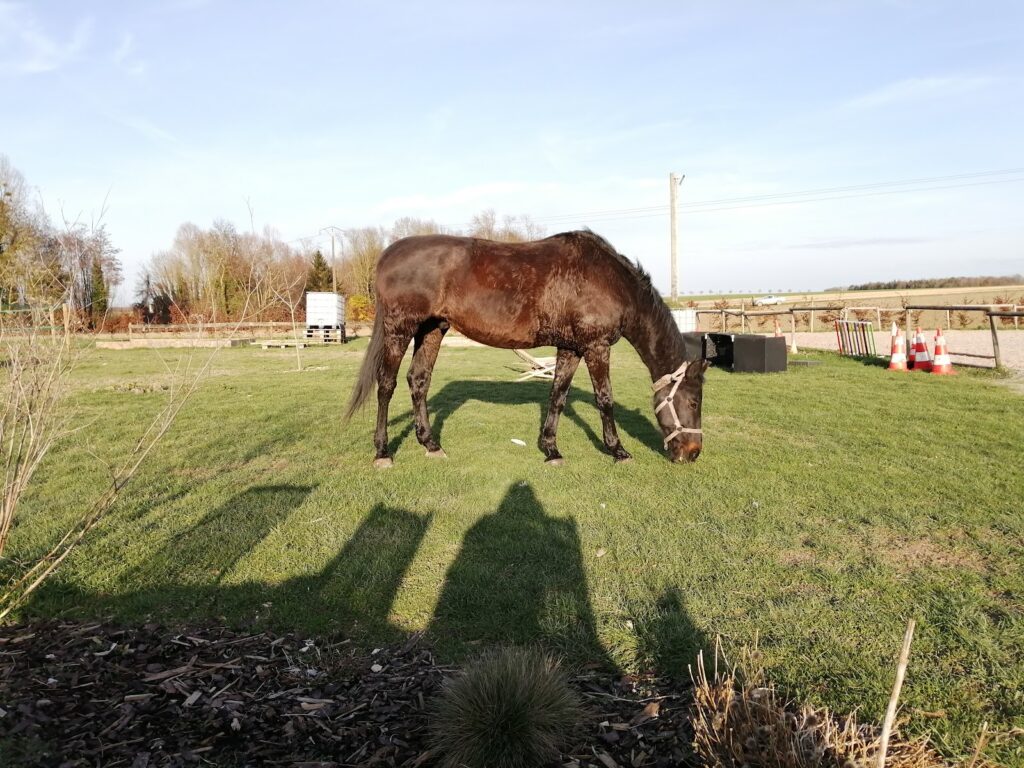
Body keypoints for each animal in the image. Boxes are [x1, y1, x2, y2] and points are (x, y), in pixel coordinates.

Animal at [345, 230, 708, 468]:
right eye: (693, 401)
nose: (692, 452)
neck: (611, 281)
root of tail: (387, 255)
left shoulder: (571, 349)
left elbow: (558, 396)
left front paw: (551, 450)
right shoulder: (596, 347)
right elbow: (604, 399)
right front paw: (618, 451)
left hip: (432, 330)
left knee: (418, 382)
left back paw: (431, 445)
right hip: (399, 330)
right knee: (386, 385)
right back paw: (383, 452)